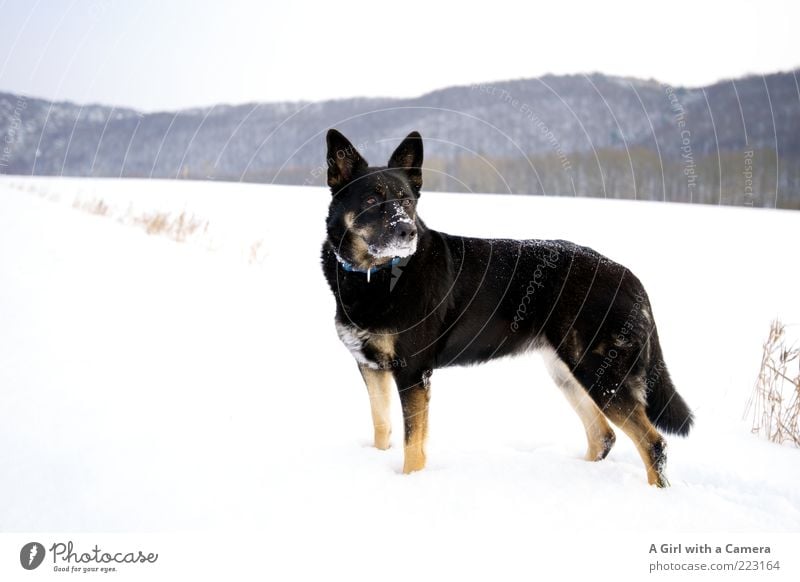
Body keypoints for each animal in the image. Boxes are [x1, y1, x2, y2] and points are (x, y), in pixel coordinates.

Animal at [322, 129, 692, 488]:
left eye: (407, 202)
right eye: (371, 201)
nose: (407, 232)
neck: (377, 275)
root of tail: (629, 276)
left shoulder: (413, 373)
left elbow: (413, 443)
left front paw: (411, 483)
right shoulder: (370, 367)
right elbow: (382, 426)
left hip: (599, 372)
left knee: (652, 442)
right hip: (568, 372)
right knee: (603, 435)